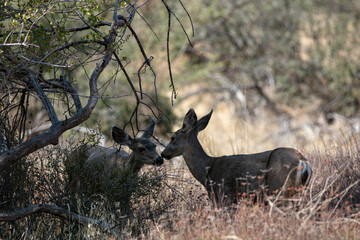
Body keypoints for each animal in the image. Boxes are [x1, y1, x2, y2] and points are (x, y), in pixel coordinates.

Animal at [161, 109, 312, 205]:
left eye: (172, 137)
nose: (163, 154)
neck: (207, 170)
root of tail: (303, 161)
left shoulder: (221, 195)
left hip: (278, 188)